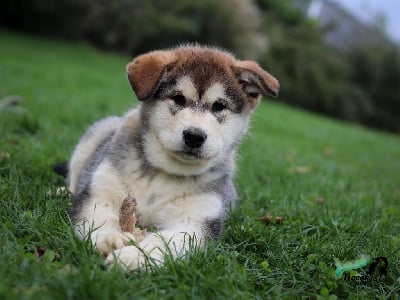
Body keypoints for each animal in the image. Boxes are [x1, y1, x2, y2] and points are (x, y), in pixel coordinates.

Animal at [68, 45, 278, 272]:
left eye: (219, 106)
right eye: (178, 98)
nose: (194, 136)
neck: (163, 173)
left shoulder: (196, 221)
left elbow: (163, 242)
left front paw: (134, 256)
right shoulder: (100, 193)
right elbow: (99, 219)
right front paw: (109, 239)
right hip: (95, 136)